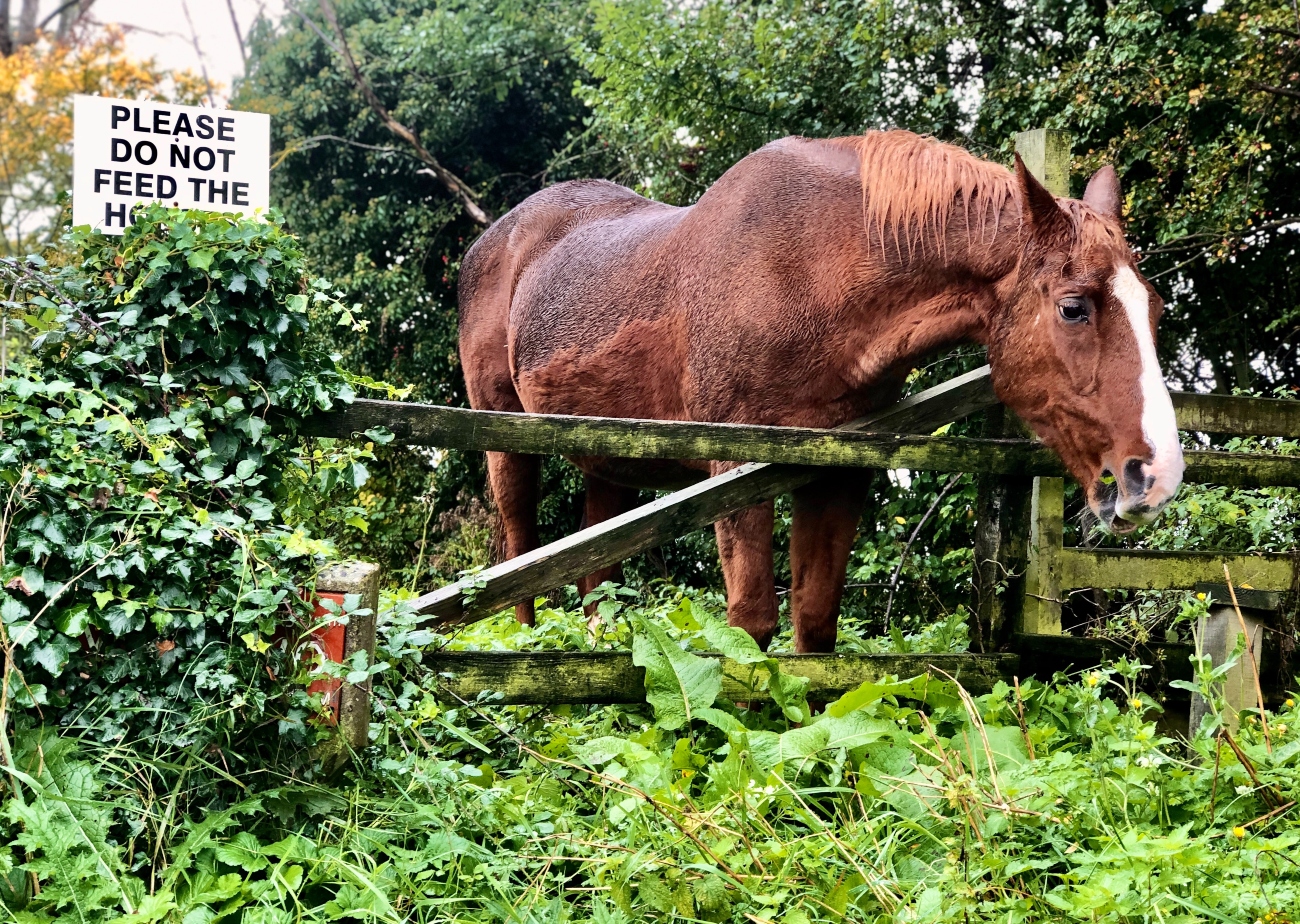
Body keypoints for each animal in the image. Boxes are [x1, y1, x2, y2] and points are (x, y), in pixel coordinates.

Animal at [460, 129, 1190, 654]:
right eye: (1074, 307)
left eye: (1154, 310)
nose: (1154, 474)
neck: (807, 275)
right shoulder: (735, 471)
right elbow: (751, 626)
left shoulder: (837, 473)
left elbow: (814, 625)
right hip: (503, 436)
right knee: (520, 557)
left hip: (610, 457)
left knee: (595, 578)